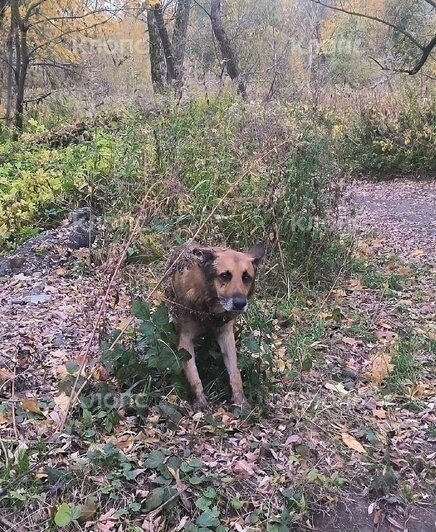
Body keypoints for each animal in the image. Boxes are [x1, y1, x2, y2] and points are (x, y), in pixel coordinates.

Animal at [164, 243, 264, 410]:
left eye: (246, 277)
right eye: (225, 275)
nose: (240, 303)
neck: (210, 309)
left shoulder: (226, 336)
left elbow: (235, 372)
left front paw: (240, 401)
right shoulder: (185, 340)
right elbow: (193, 373)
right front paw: (200, 401)